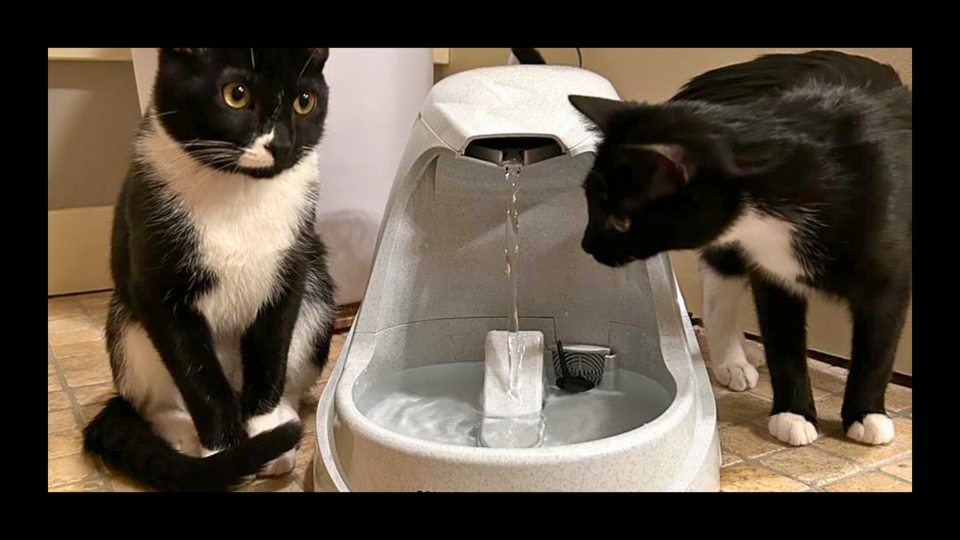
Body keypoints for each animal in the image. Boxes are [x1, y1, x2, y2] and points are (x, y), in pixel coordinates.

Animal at [82, 48, 338, 492]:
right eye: (236, 94)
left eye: (304, 101)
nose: (282, 143)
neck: (237, 191)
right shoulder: (157, 288)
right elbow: (197, 377)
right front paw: (227, 453)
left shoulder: (290, 273)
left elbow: (271, 353)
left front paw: (264, 428)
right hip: (125, 319)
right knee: (152, 402)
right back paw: (184, 433)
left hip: (317, 282)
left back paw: (281, 431)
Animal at [568, 50, 916, 448]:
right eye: (591, 202)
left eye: (620, 220)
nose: (586, 244)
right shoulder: (774, 275)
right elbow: (782, 341)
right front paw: (793, 415)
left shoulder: (891, 274)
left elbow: (879, 346)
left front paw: (866, 414)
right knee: (720, 282)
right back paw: (731, 360)